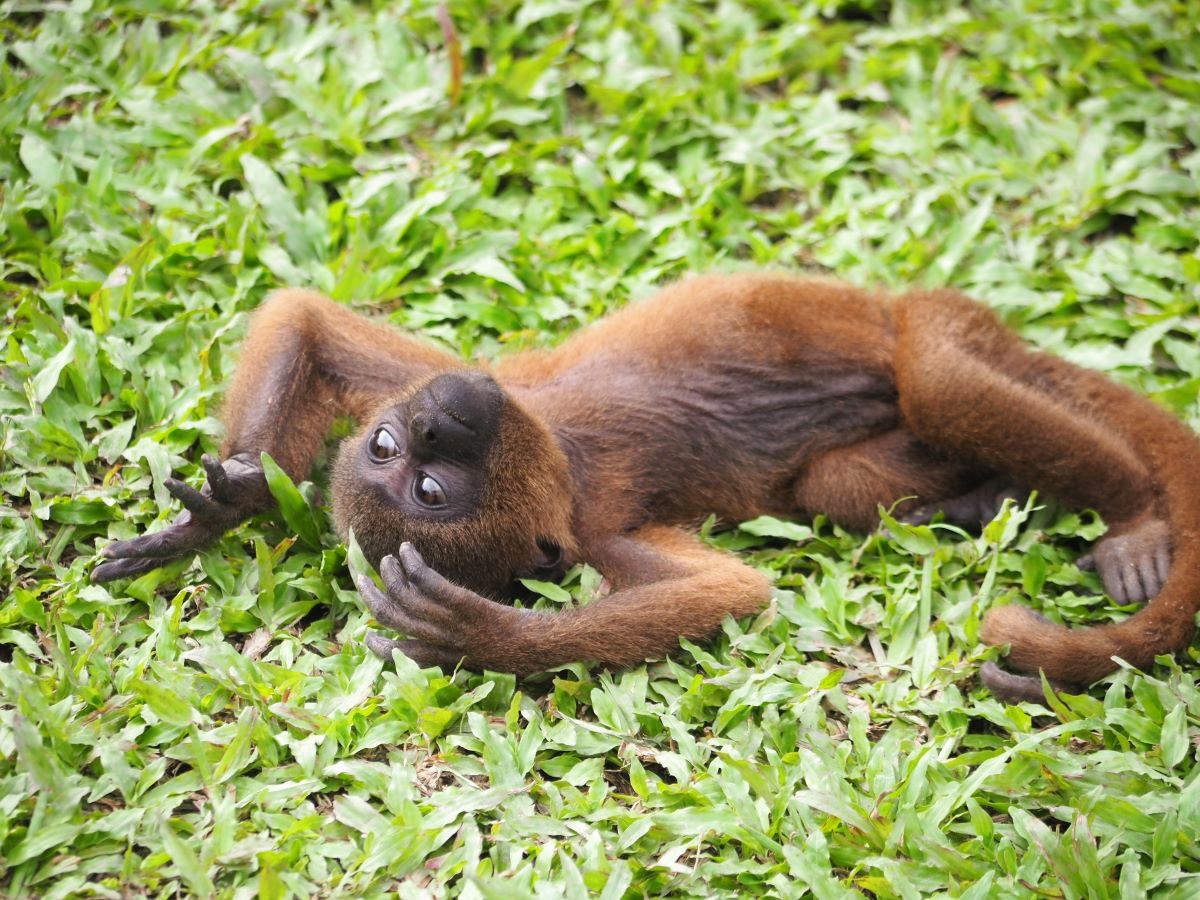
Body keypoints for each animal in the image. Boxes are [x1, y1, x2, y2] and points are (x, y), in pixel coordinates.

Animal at [93, 274, 1200, 705]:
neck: (554, 446)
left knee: (941, 380)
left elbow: (307, 319)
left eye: (398, 453)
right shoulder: (591, 530)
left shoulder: (477, 378)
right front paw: (490, 640)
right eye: (427, 488)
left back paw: (1134, 516)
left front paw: (223, 506)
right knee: (851, 473)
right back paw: (994, 504)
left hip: (938, 320)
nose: (440, 418)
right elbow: (731, 594)